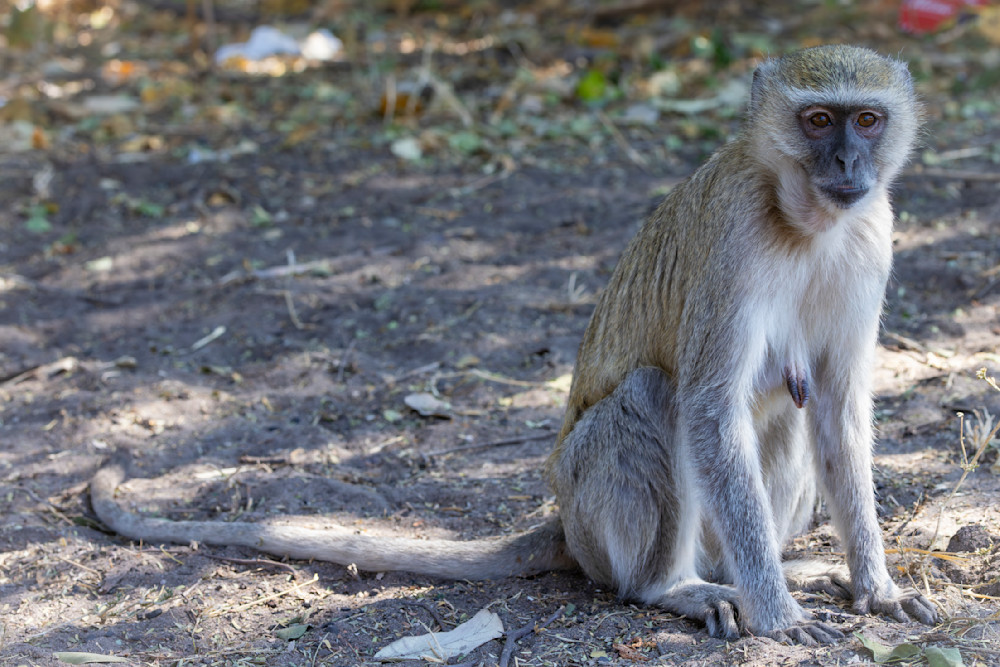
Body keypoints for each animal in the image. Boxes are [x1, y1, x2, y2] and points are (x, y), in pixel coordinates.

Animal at [90, 45, 938, 643]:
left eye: (866, 120)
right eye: (817, 121)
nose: (848, 163)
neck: (806, 223)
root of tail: (564, 519)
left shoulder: (873, 235)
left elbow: (837, 407)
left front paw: (876, 584)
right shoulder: (734, 238)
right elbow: (707, 407)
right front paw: (776, 611)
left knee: (790, 405)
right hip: (592, 507)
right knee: (655, 397)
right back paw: (677, 587)